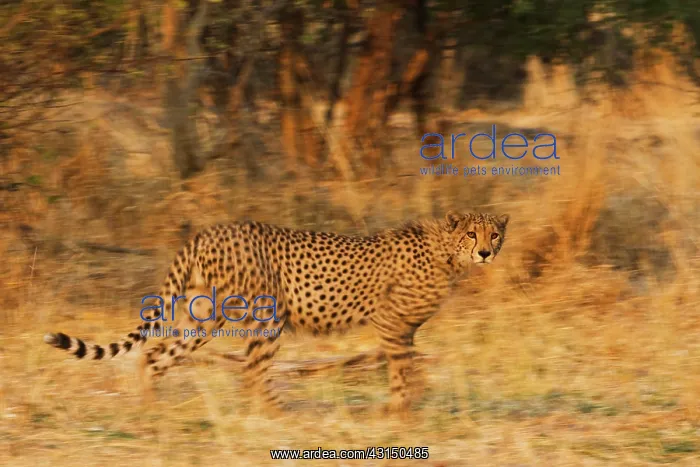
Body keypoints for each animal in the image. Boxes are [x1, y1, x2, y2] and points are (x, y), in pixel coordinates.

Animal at [44, 211, 509, 413]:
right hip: (262, 314)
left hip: (203, 314)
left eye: (494, 234)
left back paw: (150, 409)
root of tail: (209, 230)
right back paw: (277, 414)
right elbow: (401, 369)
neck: (446, 252)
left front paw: (410, 404)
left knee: (157, 353)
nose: (487, 252)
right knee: (251, 370)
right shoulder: (390, 322)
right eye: (472, 234)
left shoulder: (404, 329)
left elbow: (409, 365)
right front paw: (400, 411)